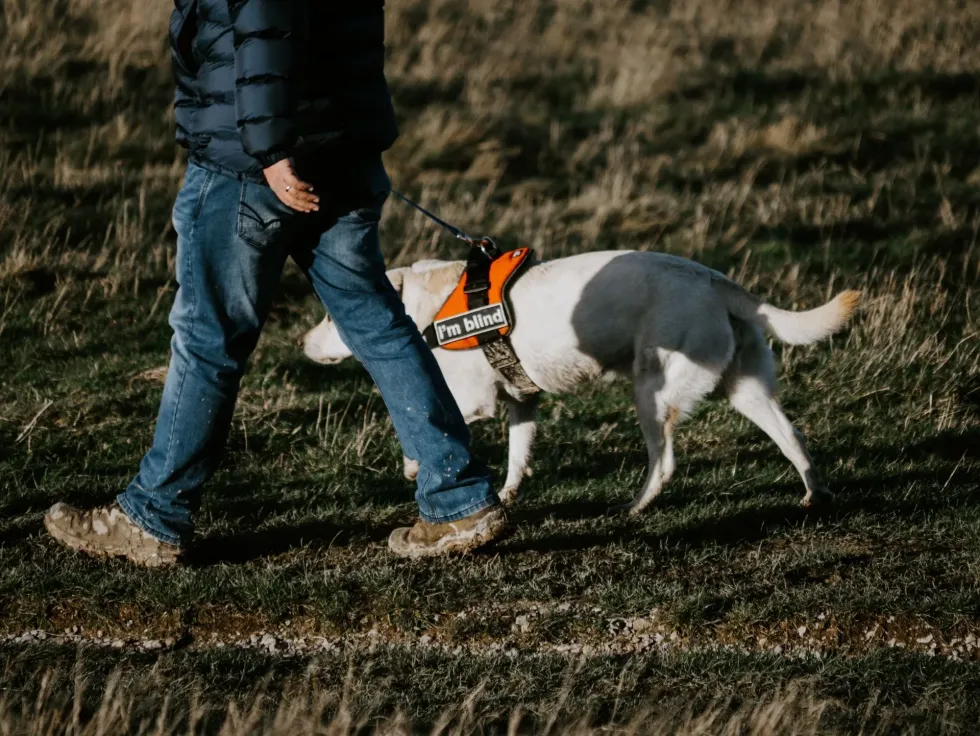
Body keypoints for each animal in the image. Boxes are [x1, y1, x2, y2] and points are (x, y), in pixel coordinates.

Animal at [304, 252, 856, 512]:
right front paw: (507, 494)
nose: (302, 343)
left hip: (652, 392)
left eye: (332, 316)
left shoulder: (470, 400)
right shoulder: (521, 402)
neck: (424, 306)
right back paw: (815, 494)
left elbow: (420, 427)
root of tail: (717, 281)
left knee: (664, 462)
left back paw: (635, 506)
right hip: (747, 390)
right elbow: (517, 456)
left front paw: (415, 466)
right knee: (794, 439)